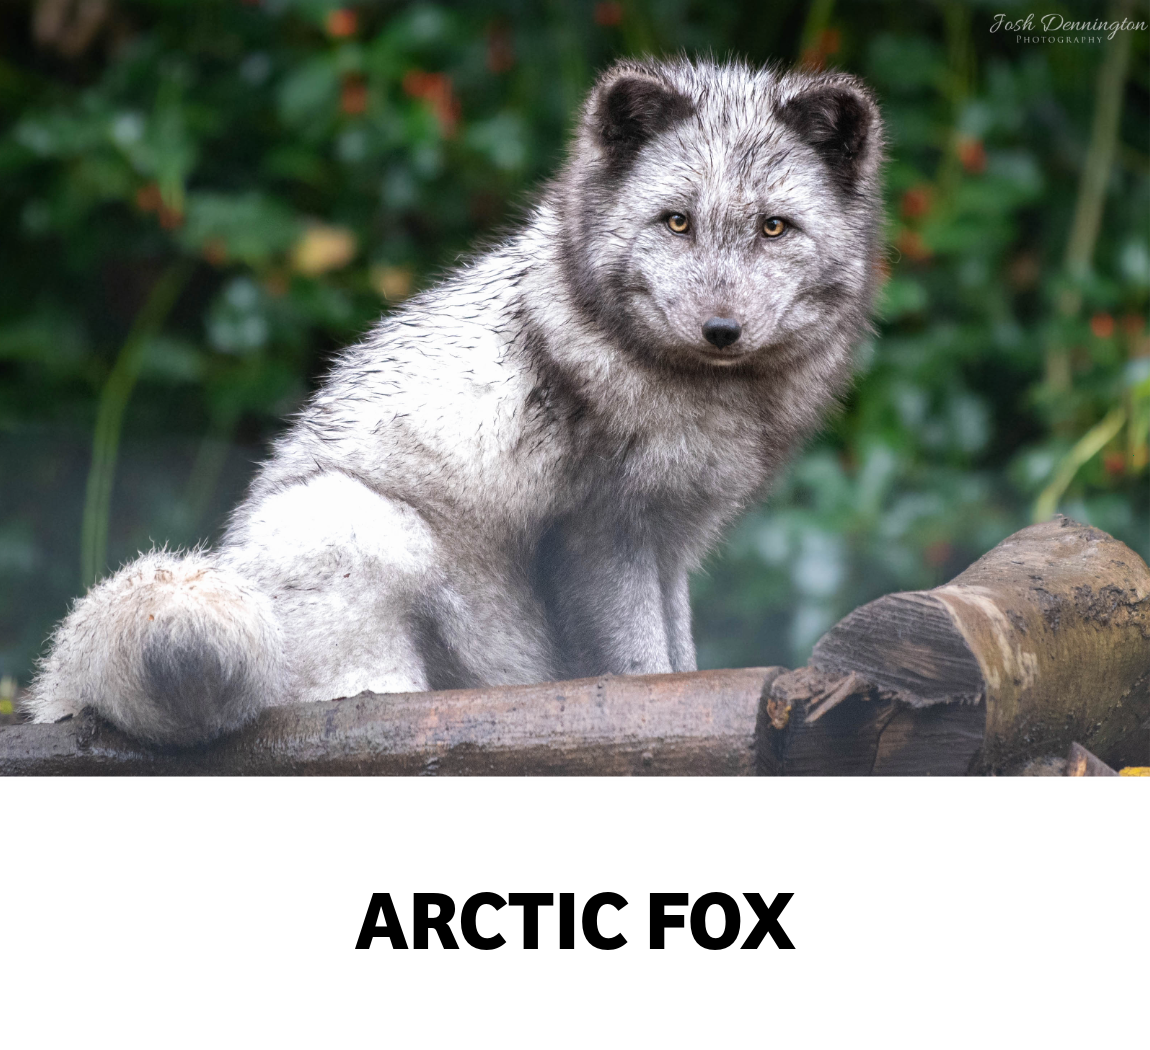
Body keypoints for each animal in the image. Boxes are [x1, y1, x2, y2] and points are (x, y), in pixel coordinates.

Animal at [25, 57, 885, 747]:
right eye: (676, 221)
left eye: (774, 228)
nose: (722, 330)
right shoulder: (604, 535)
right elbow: (642, 669)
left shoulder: (671, 543)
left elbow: (680, 661)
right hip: (357, 523)